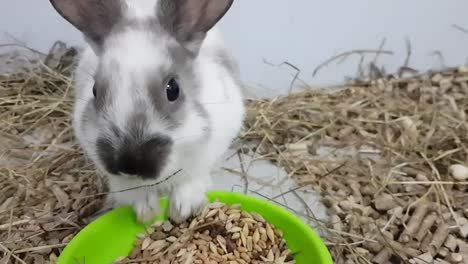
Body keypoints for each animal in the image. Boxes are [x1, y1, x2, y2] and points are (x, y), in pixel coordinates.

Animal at [49, 0, 247, 223]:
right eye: (95, 90)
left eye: (173, 89)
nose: (129, 165)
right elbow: (132, 190)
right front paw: (147, 212)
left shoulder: (208, 153)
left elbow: (191, 180)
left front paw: (181, 209)